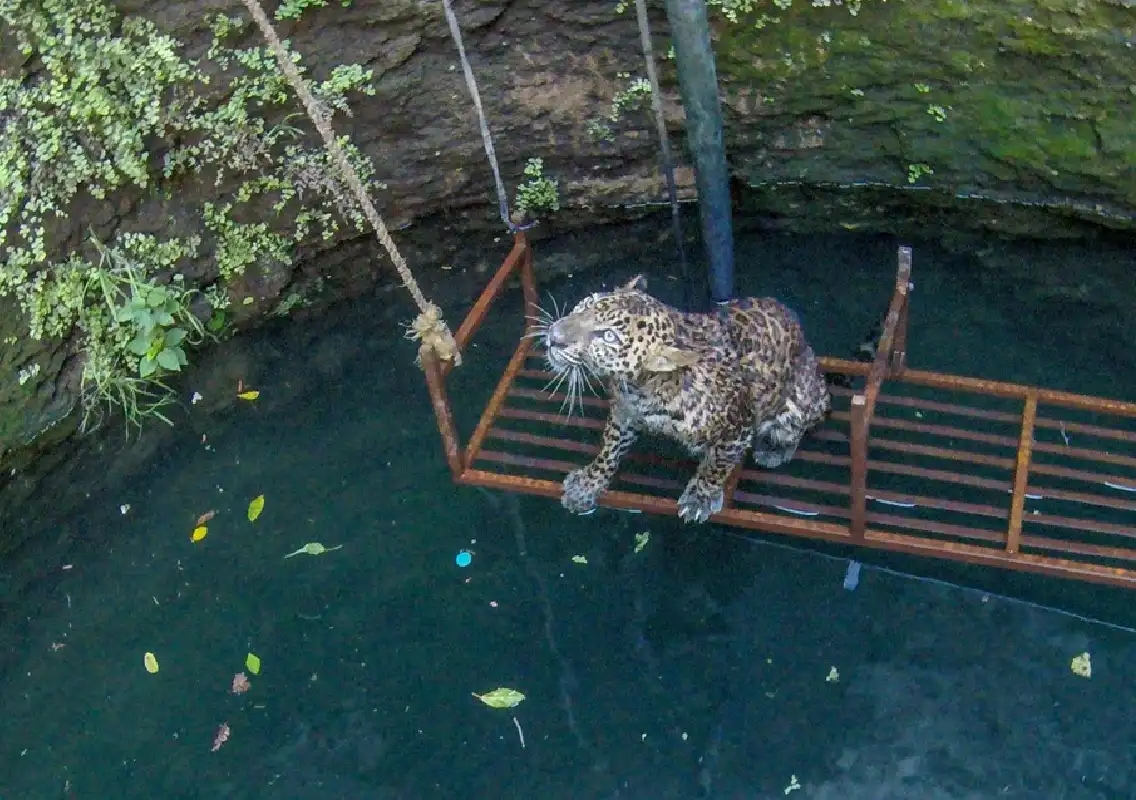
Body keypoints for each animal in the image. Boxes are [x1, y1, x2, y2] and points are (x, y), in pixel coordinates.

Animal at [540, 274, 831, 523]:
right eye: (587, 304)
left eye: (608, 336)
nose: (554, 337)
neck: (642, 387)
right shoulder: (624, 414)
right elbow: (608, 451)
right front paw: (587, 485)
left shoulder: (740, 424)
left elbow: (718, 464)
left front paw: (700, 497)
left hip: (800, 401)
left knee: (799, 427)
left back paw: (774, 449)